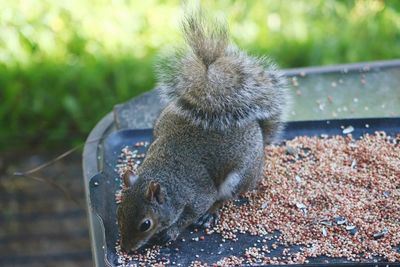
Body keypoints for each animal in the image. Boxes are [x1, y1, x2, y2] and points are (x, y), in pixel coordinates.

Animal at [117, 10, 290, 253]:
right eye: (119, 213)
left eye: (145, 224)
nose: (125, 248)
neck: (165, 177)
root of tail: (258, 131)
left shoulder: (198, 194)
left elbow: (191, 214)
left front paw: (171, 231)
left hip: (239, 177)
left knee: (227, 198)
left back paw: (211, 214)